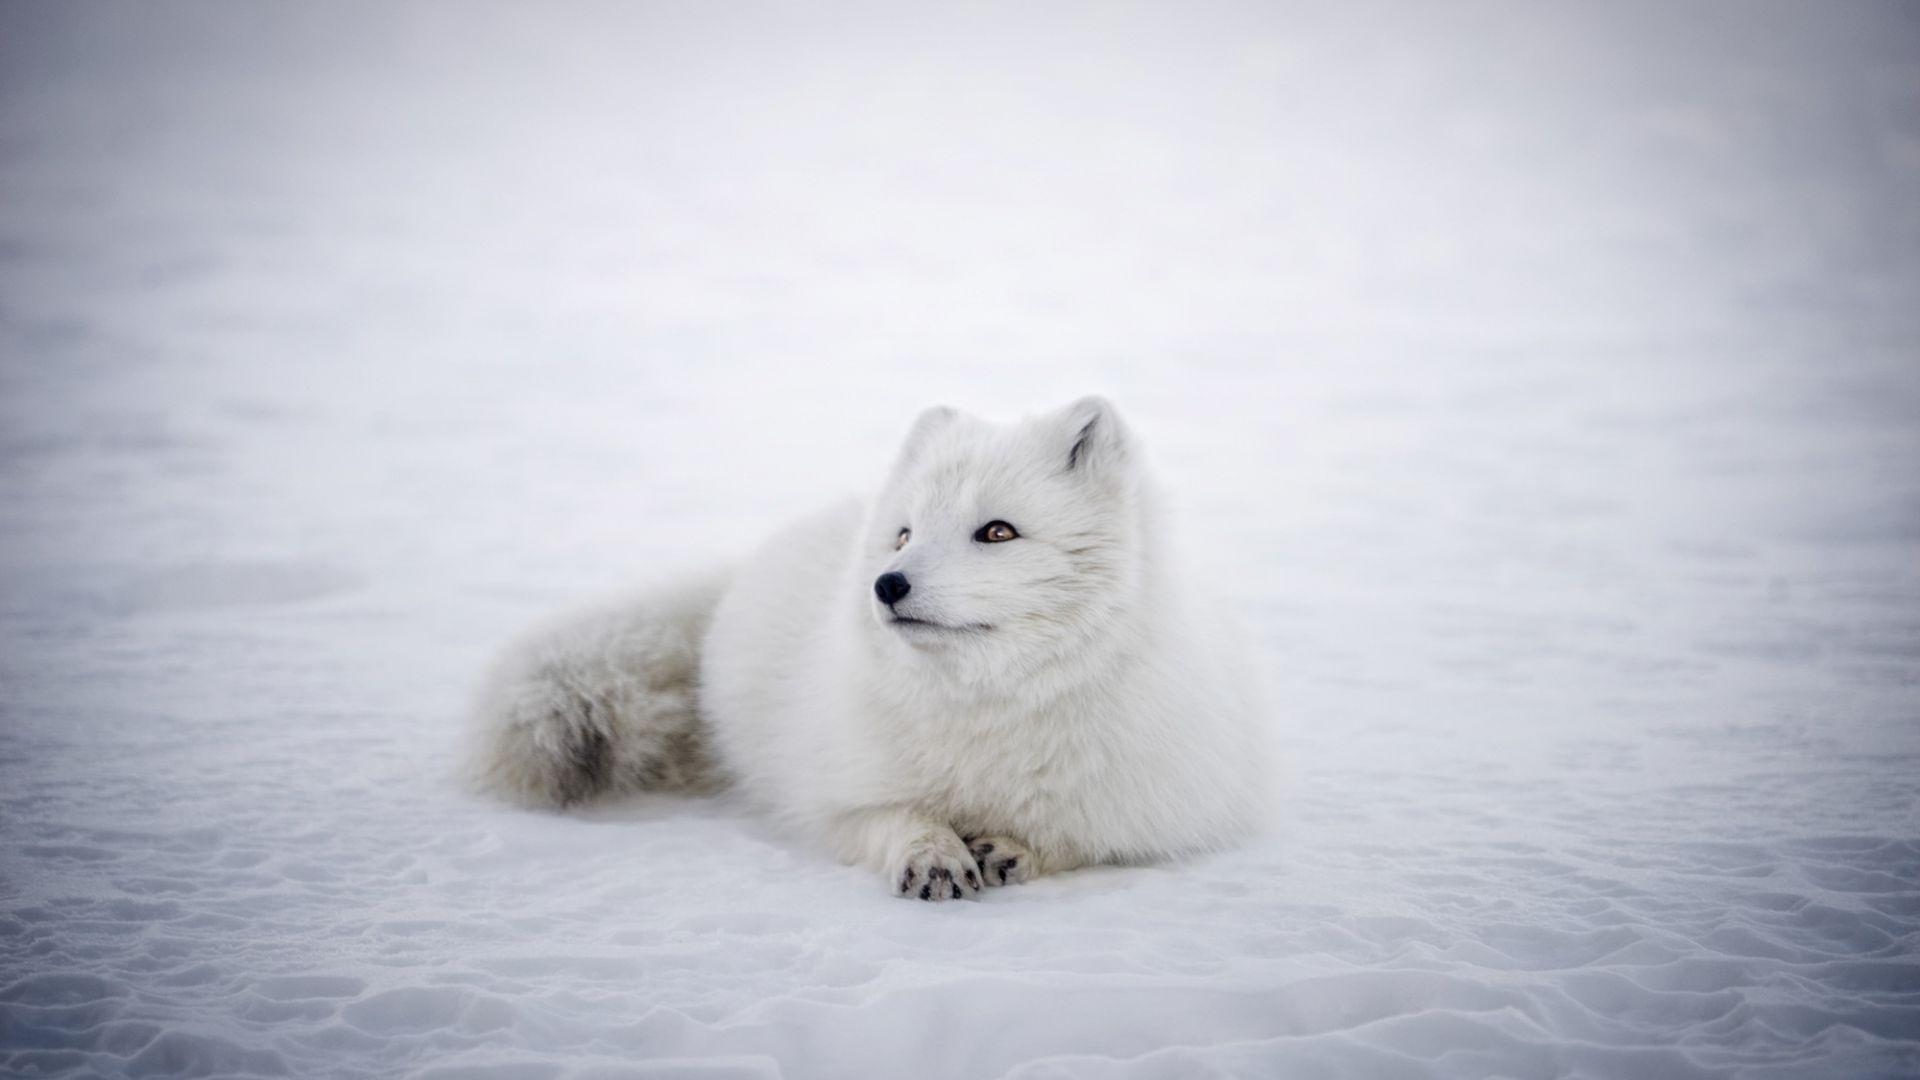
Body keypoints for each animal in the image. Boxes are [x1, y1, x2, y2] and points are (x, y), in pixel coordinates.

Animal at [470, 399, 1267, 895]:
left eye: (998, 532)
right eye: (905, 534)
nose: (887, 584)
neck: (988, 711)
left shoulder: (1162, 806)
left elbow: (1084, 837)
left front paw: (1015, 848)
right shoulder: (831, 794)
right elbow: (891, 817)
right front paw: (932, 853)